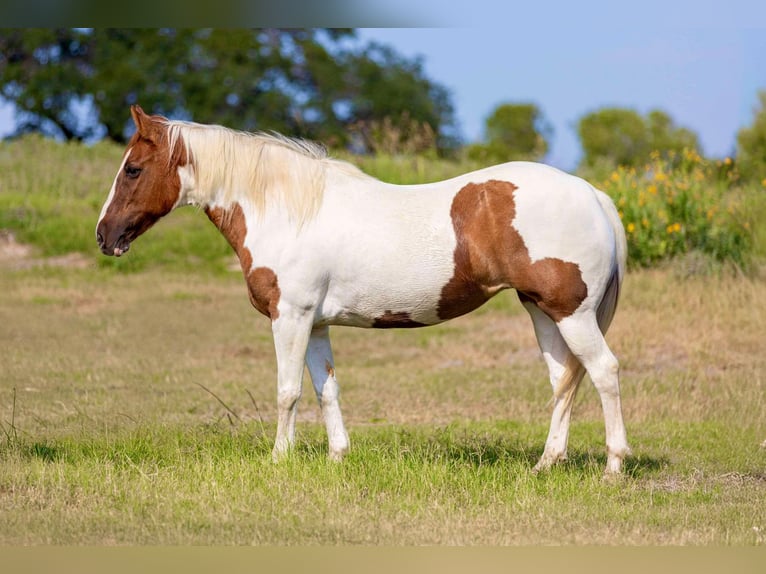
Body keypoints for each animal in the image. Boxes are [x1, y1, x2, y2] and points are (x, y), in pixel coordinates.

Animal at [96, 105, 630, 475]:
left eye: (133, 169)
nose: (104, 236)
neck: (289, 210)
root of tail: (592, 193)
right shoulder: (314, 324)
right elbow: (325, 388)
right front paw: (337, 457)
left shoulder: (290, 316)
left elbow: (287, 391)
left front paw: (279, 459)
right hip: (543, 312)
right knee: (564, 379)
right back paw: (545, 464)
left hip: (572, 314)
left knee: (603, 372)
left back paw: (614, 466)